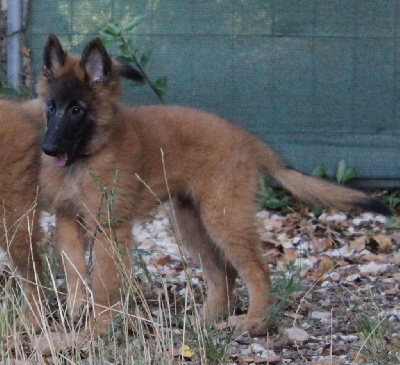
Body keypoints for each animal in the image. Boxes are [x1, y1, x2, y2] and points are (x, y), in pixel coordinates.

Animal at [38, 34, 390, 336]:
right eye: (51, 108)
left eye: (77, 110)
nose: (49, 149)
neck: (89, 154)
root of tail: (247, 140)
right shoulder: (68, 218)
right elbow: (74, 269)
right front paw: (77, 310)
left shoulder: (111, 226)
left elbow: (105, 280)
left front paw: (97, 327)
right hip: (194, 222)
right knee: (224, 273)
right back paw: (206, 321)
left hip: (223, 216)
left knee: (257, 270)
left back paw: (255, 323)